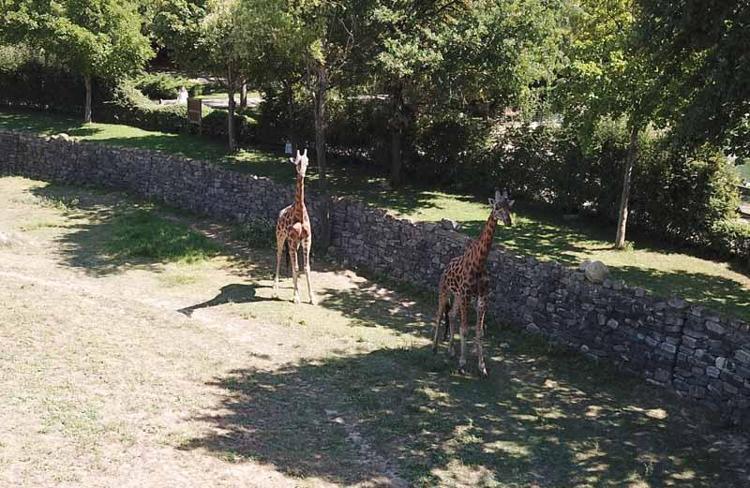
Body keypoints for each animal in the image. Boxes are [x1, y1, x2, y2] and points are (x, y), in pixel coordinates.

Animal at [273, 149, 316, 305]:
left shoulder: (306, 239)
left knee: (290, 261)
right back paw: (275, 288)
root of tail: (280, 213)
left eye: (307, 162)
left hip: (295, 243)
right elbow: (297, 266)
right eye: (297, 162)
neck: (299, 212)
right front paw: (296, 297)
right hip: (280, 236)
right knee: (279, 256)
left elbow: (306, 267)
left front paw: (312, 298)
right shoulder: (291, 239)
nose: (302, 173)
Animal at [432, 189, 514, 377]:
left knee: (451, 315)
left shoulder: (482, 297)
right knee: (439, 314)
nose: (508, 221)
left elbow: (479, 331)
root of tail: (446, 267)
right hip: (444, 290)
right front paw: (462, 363)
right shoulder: (466, 295)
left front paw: (482, 367)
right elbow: (464, 329)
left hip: (456, 296)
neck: (479, 262)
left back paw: (450, 350)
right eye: (497, 207)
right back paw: (435, 348)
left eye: (509, 208)